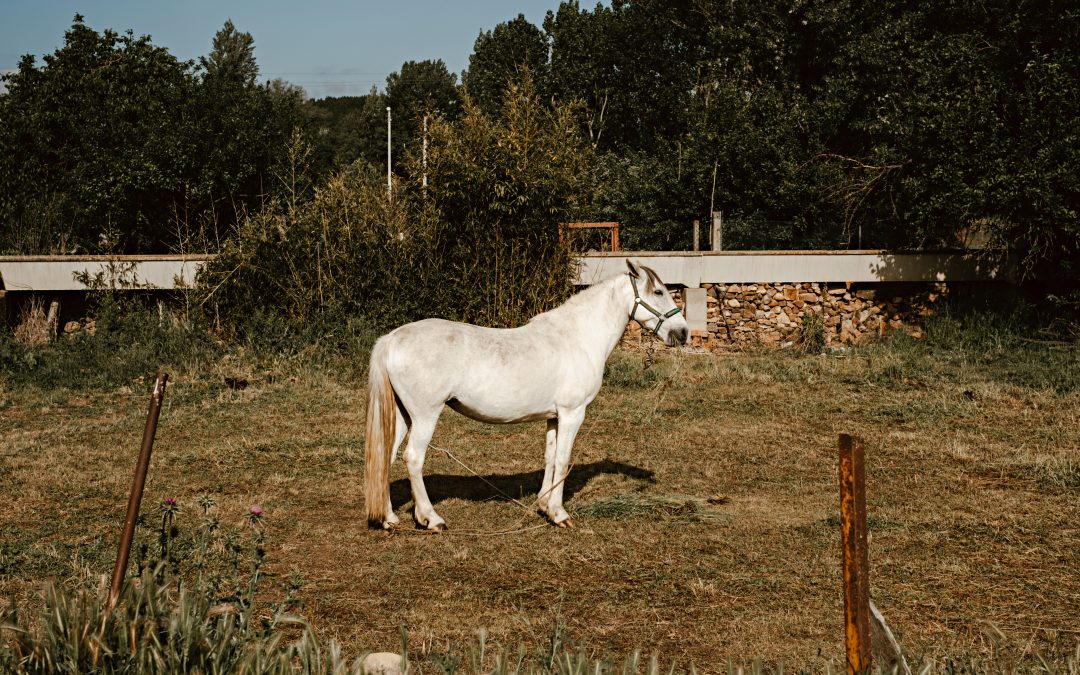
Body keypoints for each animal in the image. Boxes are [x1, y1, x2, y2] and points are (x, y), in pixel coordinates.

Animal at [362, 260, 682, 529]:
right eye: (658, 291)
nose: (681, 333)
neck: (579, 337)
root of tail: (392, 338)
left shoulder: (554, 416)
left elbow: (550, 457)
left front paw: (545, 506)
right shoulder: (573, 413)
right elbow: (563, 460)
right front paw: (560, 515)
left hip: (403, 415)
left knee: (386, 456)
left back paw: (390, 519)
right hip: (425, 415)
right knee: (414, 458)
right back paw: (431, 518)